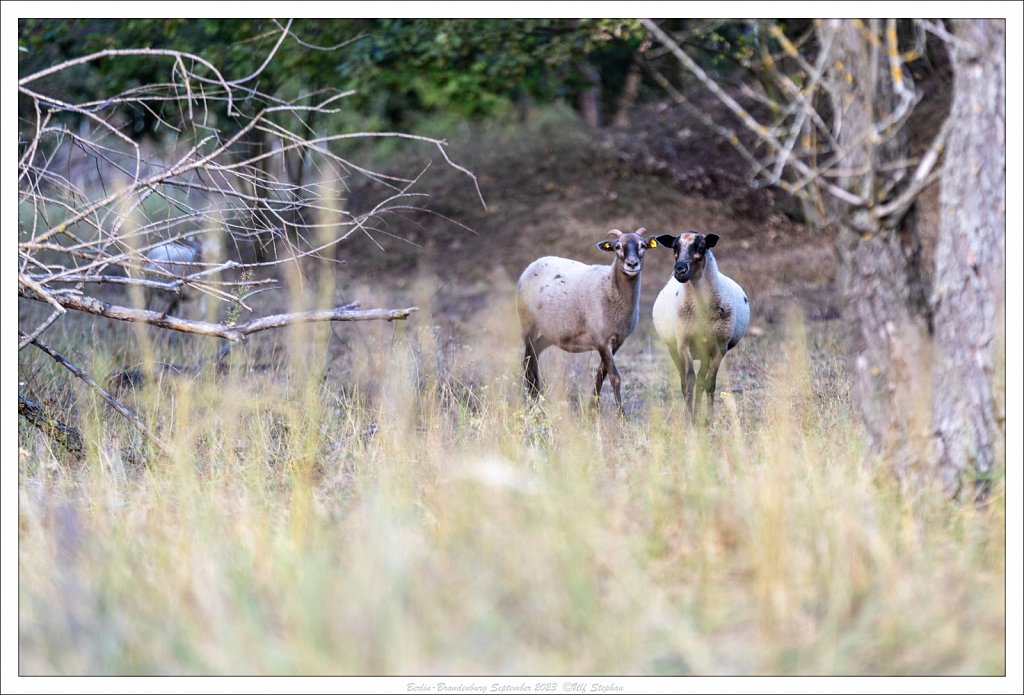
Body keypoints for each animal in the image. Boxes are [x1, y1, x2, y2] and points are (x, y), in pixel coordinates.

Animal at [516, 228, 659, 413]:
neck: (610, 287)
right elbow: (615, 377)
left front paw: (593, 409)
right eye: (617, 246)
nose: (632, 264)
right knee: (527, 359)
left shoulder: (617, 341)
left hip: (553, 332)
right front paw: (621, 415)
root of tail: (532, 265)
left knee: (535, 354)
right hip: (528, 323)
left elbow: (601, 374)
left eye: (643, 246)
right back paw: (533, 401)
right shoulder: (601, 339)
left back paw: (537, 396)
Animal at [651, 231, 749, 421]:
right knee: (685, 381)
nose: (680, 270)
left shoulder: (720, 347)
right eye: (674, 248)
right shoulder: (683, 344)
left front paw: (708, 420)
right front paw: (689, 419)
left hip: (705, 351)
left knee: (702, 381)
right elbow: (689, 380)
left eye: (702, 248)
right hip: (674, 349)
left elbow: (710, 383)